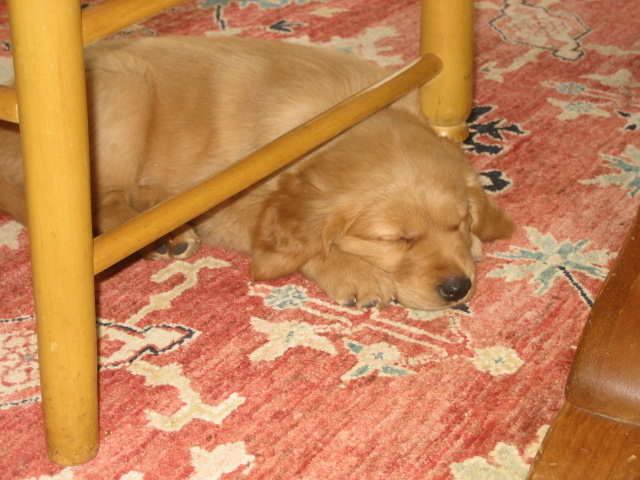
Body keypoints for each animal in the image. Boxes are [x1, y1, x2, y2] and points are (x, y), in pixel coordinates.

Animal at [0, 35, 512, 310]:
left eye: (458, 222)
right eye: (394, 240)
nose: (458, 288)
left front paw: (476, 242)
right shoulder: (225, 207)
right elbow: (299, 244)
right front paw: (352, 271)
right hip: (125, 89)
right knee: (104, 204)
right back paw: (159, 233)